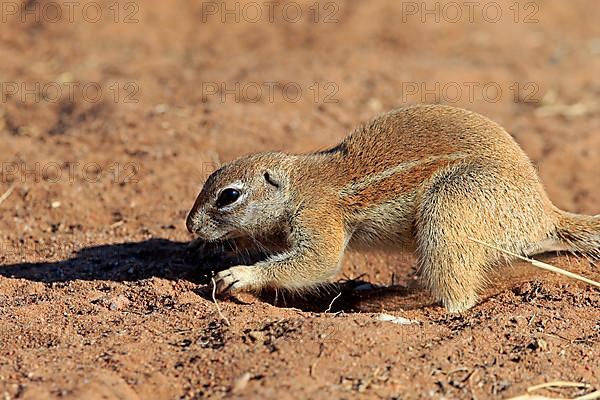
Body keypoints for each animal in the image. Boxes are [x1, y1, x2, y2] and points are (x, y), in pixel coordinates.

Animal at [185, 103, 596, 312]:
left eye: (229, 196)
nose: (190, 226)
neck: (297, 186)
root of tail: (544, 212)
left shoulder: (319, 216)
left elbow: (318, 261)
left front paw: (239, 275)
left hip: (450, 204)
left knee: (461, 297)